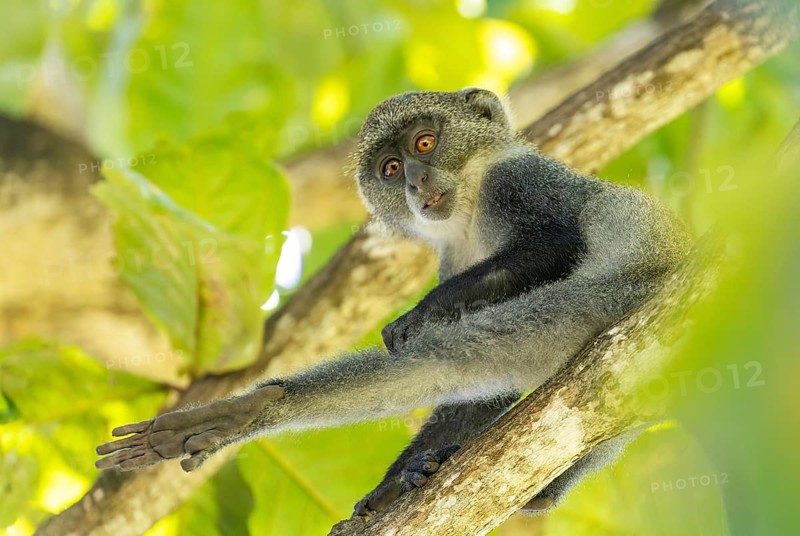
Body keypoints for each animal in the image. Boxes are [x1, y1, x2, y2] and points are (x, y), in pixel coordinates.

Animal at [95, 88, 690, 517]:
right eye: (389, 169)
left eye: (424, 145)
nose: (416, 182)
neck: (469, 211)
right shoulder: (453, 254)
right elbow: (482, 397)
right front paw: (396, 481)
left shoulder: (521, 181)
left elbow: (557, 243)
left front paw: (421, 313)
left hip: (613, 297)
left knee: (444, 359)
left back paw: (253, 407)